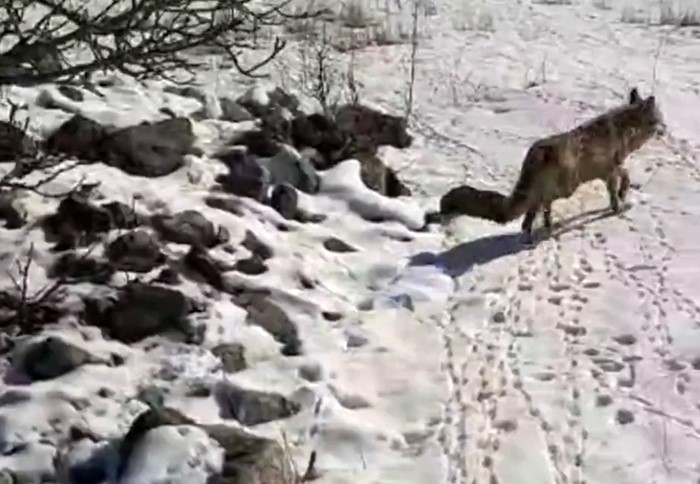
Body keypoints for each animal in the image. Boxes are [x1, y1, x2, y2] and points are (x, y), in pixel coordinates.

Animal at [430, 89, 664, 236]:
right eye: (659, 118)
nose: (665, 129)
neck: (626, 130)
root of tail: (535, 153)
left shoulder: (610, 170)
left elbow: (623, 180)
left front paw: (622, 198)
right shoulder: (609, 170)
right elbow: (620, 186)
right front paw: (620, 205)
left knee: (533, 214)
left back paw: (540, 229)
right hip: (566, 188)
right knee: (537, 207)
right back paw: (543, 230)